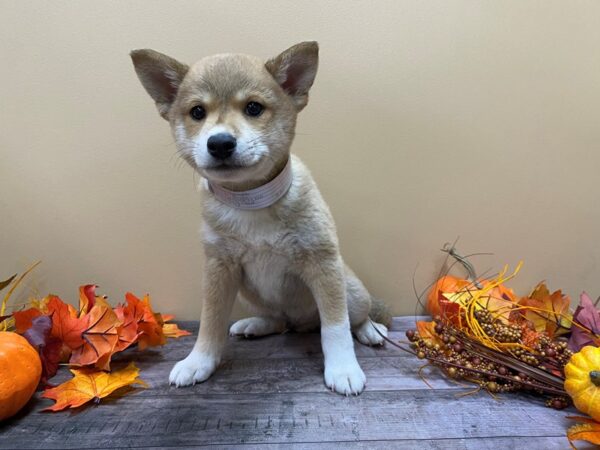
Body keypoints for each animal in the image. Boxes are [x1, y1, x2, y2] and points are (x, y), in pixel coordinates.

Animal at [131, 41, 390, 394]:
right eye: (197, 112)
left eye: (253, 108)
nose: (220, 143)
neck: (250, 202)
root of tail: (302, 322)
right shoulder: (219, 268)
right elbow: (210, 322)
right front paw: (199, 361)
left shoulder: (322, 262)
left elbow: (335, 326)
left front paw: (343, 368)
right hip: (249, 292)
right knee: (280, 320)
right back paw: (256, 324)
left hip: (351, 289)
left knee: (353, 316)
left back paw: (369, 330)